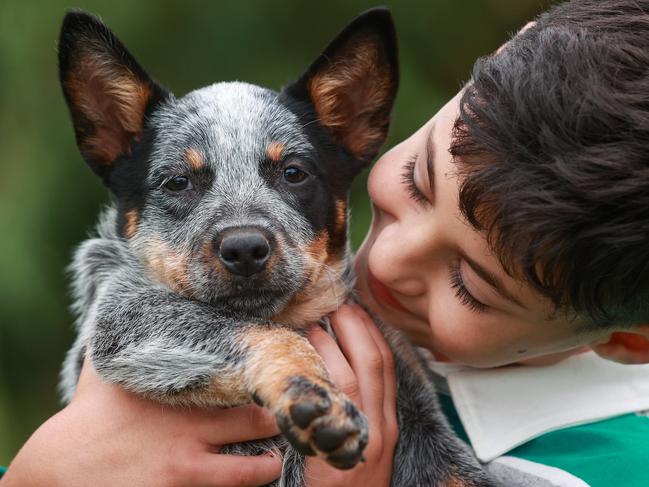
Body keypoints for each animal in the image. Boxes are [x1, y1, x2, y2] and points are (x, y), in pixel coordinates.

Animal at [58, 7, 494, 487]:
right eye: (177, 181)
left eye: (294, 173)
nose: (245, 248)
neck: (295, 314)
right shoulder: (122, 314)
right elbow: (257, 331)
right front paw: (315, 397)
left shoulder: (418, 409)